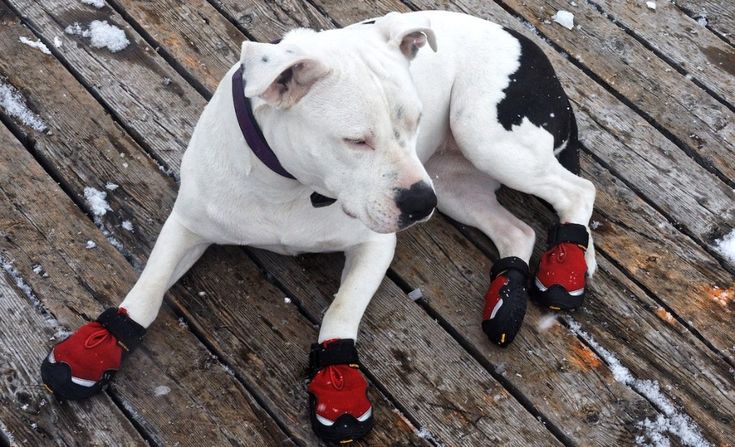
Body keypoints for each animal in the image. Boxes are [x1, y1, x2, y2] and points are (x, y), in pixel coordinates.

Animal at [41, 11, 600, 444]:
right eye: (356, 140)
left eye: (414, 120)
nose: (420, 204)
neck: (289, 184)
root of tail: (524, 40)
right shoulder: (189, 223)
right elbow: (149, 286)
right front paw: (99, 342)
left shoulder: (374, 246)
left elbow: (341, 311)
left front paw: (338, 380)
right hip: (454, 183)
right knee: (518, 231)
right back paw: (506, 303)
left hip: (481, 140)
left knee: (577, 190)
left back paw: (566, 269)